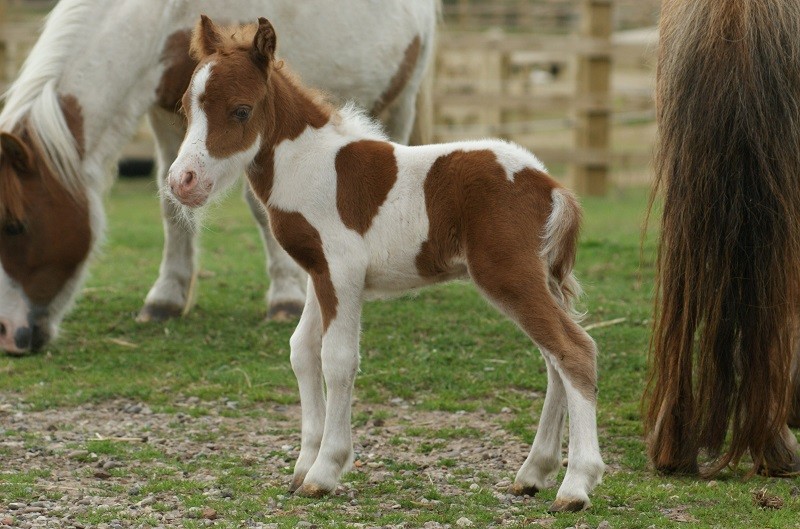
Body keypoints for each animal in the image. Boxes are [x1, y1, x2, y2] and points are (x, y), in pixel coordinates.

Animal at [0, 2, 438, 354]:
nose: (6, 335)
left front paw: (285, 297)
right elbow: (169, 201)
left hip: (403, 97)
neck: (164, 15)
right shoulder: (165, 111)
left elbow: (264, 207)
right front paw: (166, 298)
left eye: (16, 226)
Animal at [170, 17, 608, 512]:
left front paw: (325, 471)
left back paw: (575, 486)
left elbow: (337, 359)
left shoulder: (342, 272)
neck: (310, 167)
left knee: (573, 350)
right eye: (185, 108)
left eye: (241, 111)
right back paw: (533, 473)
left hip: (508, 274)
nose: (182, 182)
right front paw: (302, 467)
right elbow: (302, 351)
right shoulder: (318, 273)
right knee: (554, 359)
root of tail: (551, 186)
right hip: (535, 279)